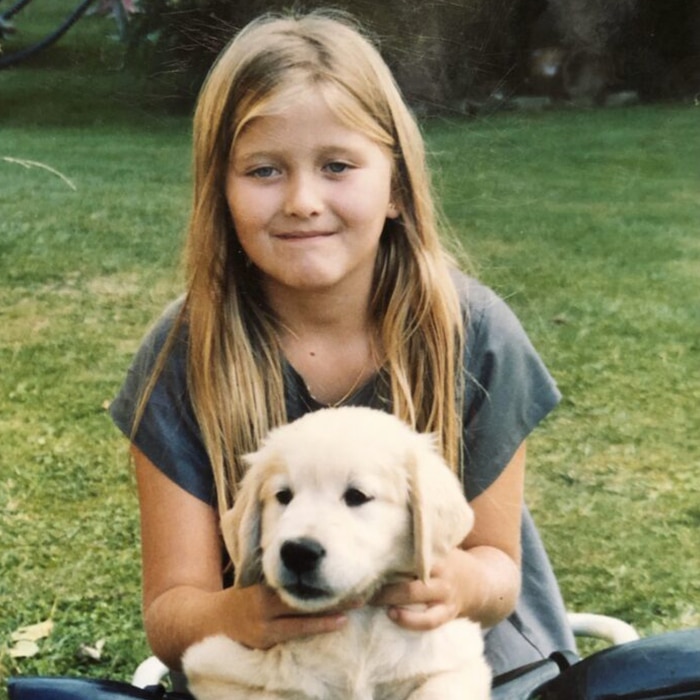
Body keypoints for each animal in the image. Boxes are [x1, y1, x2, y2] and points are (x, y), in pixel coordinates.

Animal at [186, 404, 492, 700]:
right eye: (283, 496)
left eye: (357, 496)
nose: (299, 552)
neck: (357, 624)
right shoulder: (220, 671)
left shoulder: (453, 664)